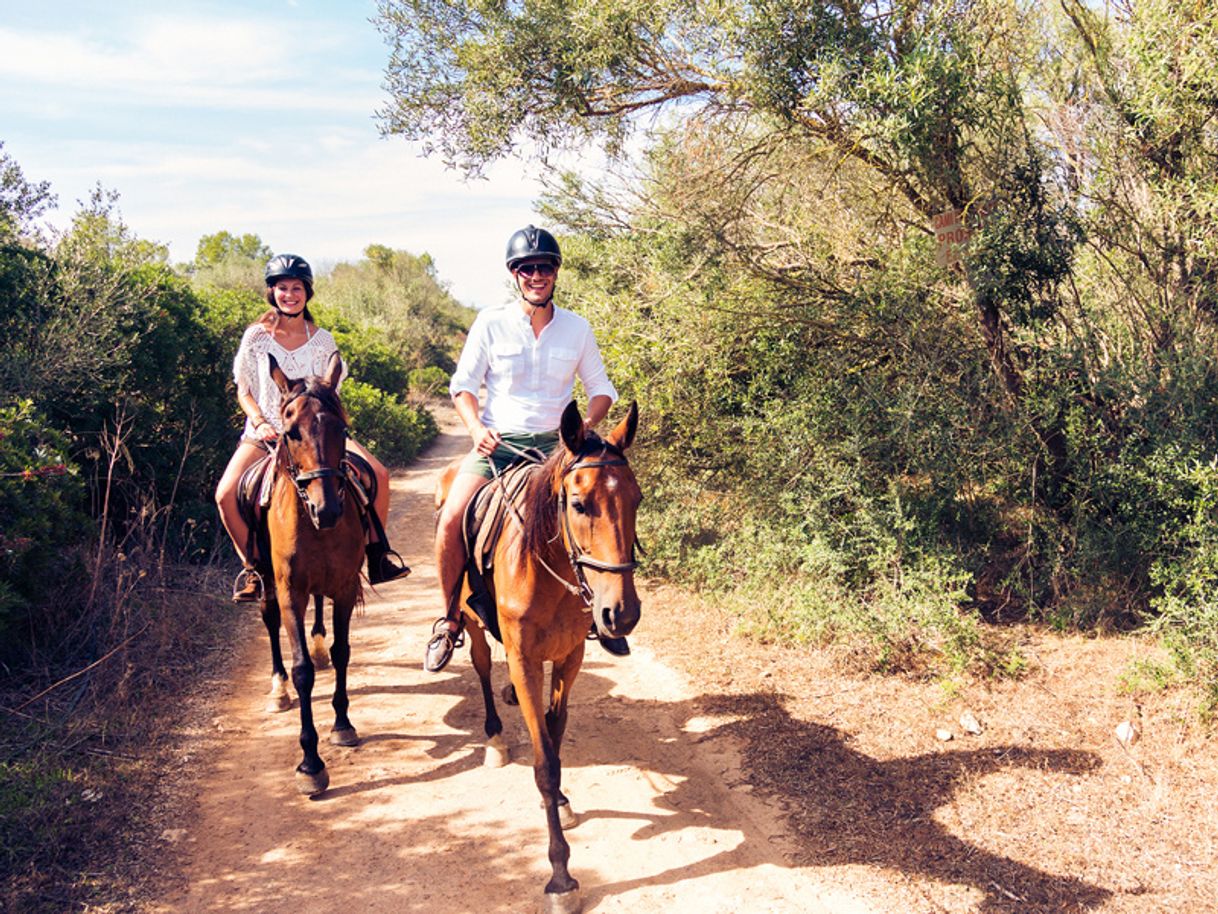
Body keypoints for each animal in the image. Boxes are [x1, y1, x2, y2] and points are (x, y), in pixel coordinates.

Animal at [443, 399, 643, 914]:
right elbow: (543, 763)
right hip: (470, 622)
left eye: (636, 501)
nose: (621, 614)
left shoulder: (570, 656)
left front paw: (563, 803)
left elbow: (553, 738)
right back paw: (494, 737)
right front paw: (560, 876)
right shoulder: (526, 660)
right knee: (479, 665)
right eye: (579, 504)